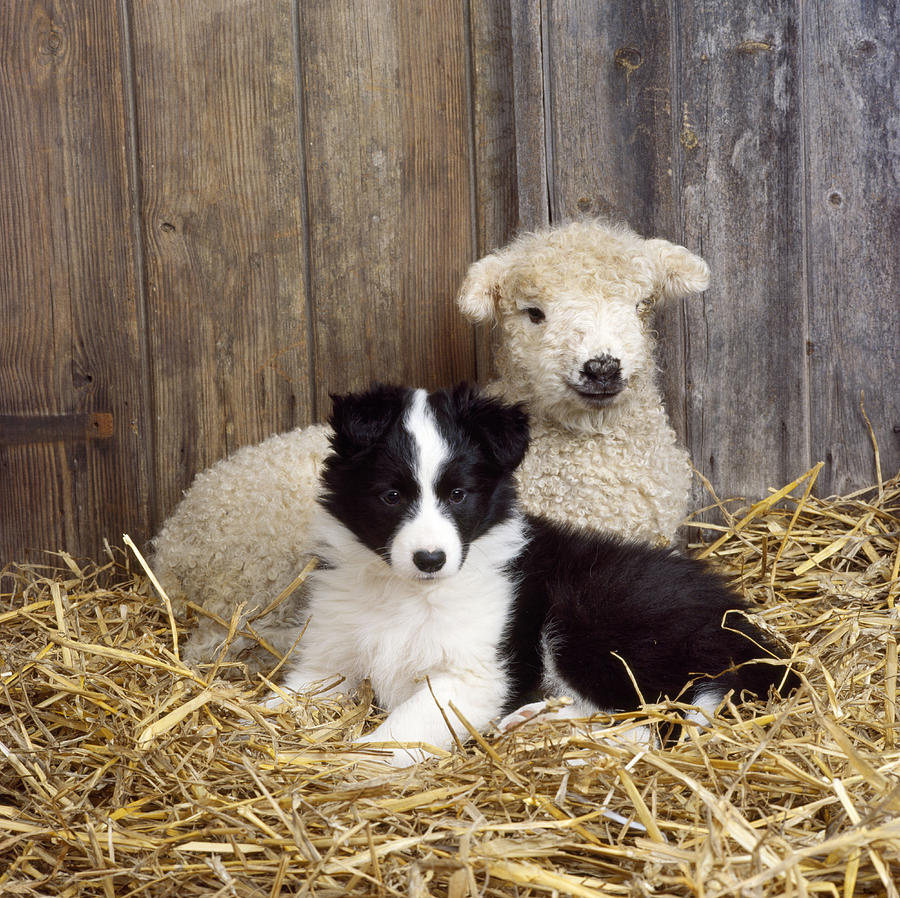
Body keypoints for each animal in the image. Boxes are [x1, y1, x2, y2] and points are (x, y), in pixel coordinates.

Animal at [274, 384, 796, 764]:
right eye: (391, 496)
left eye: (458, 494)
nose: (430, 559)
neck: (406, 593)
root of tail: (734, 616)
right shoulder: (327, 661)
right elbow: (285, 697)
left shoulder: (473, 675)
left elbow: (400, 728)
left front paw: (352, 766)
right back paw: (530, 722)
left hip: (593, 619)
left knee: (662, 720)